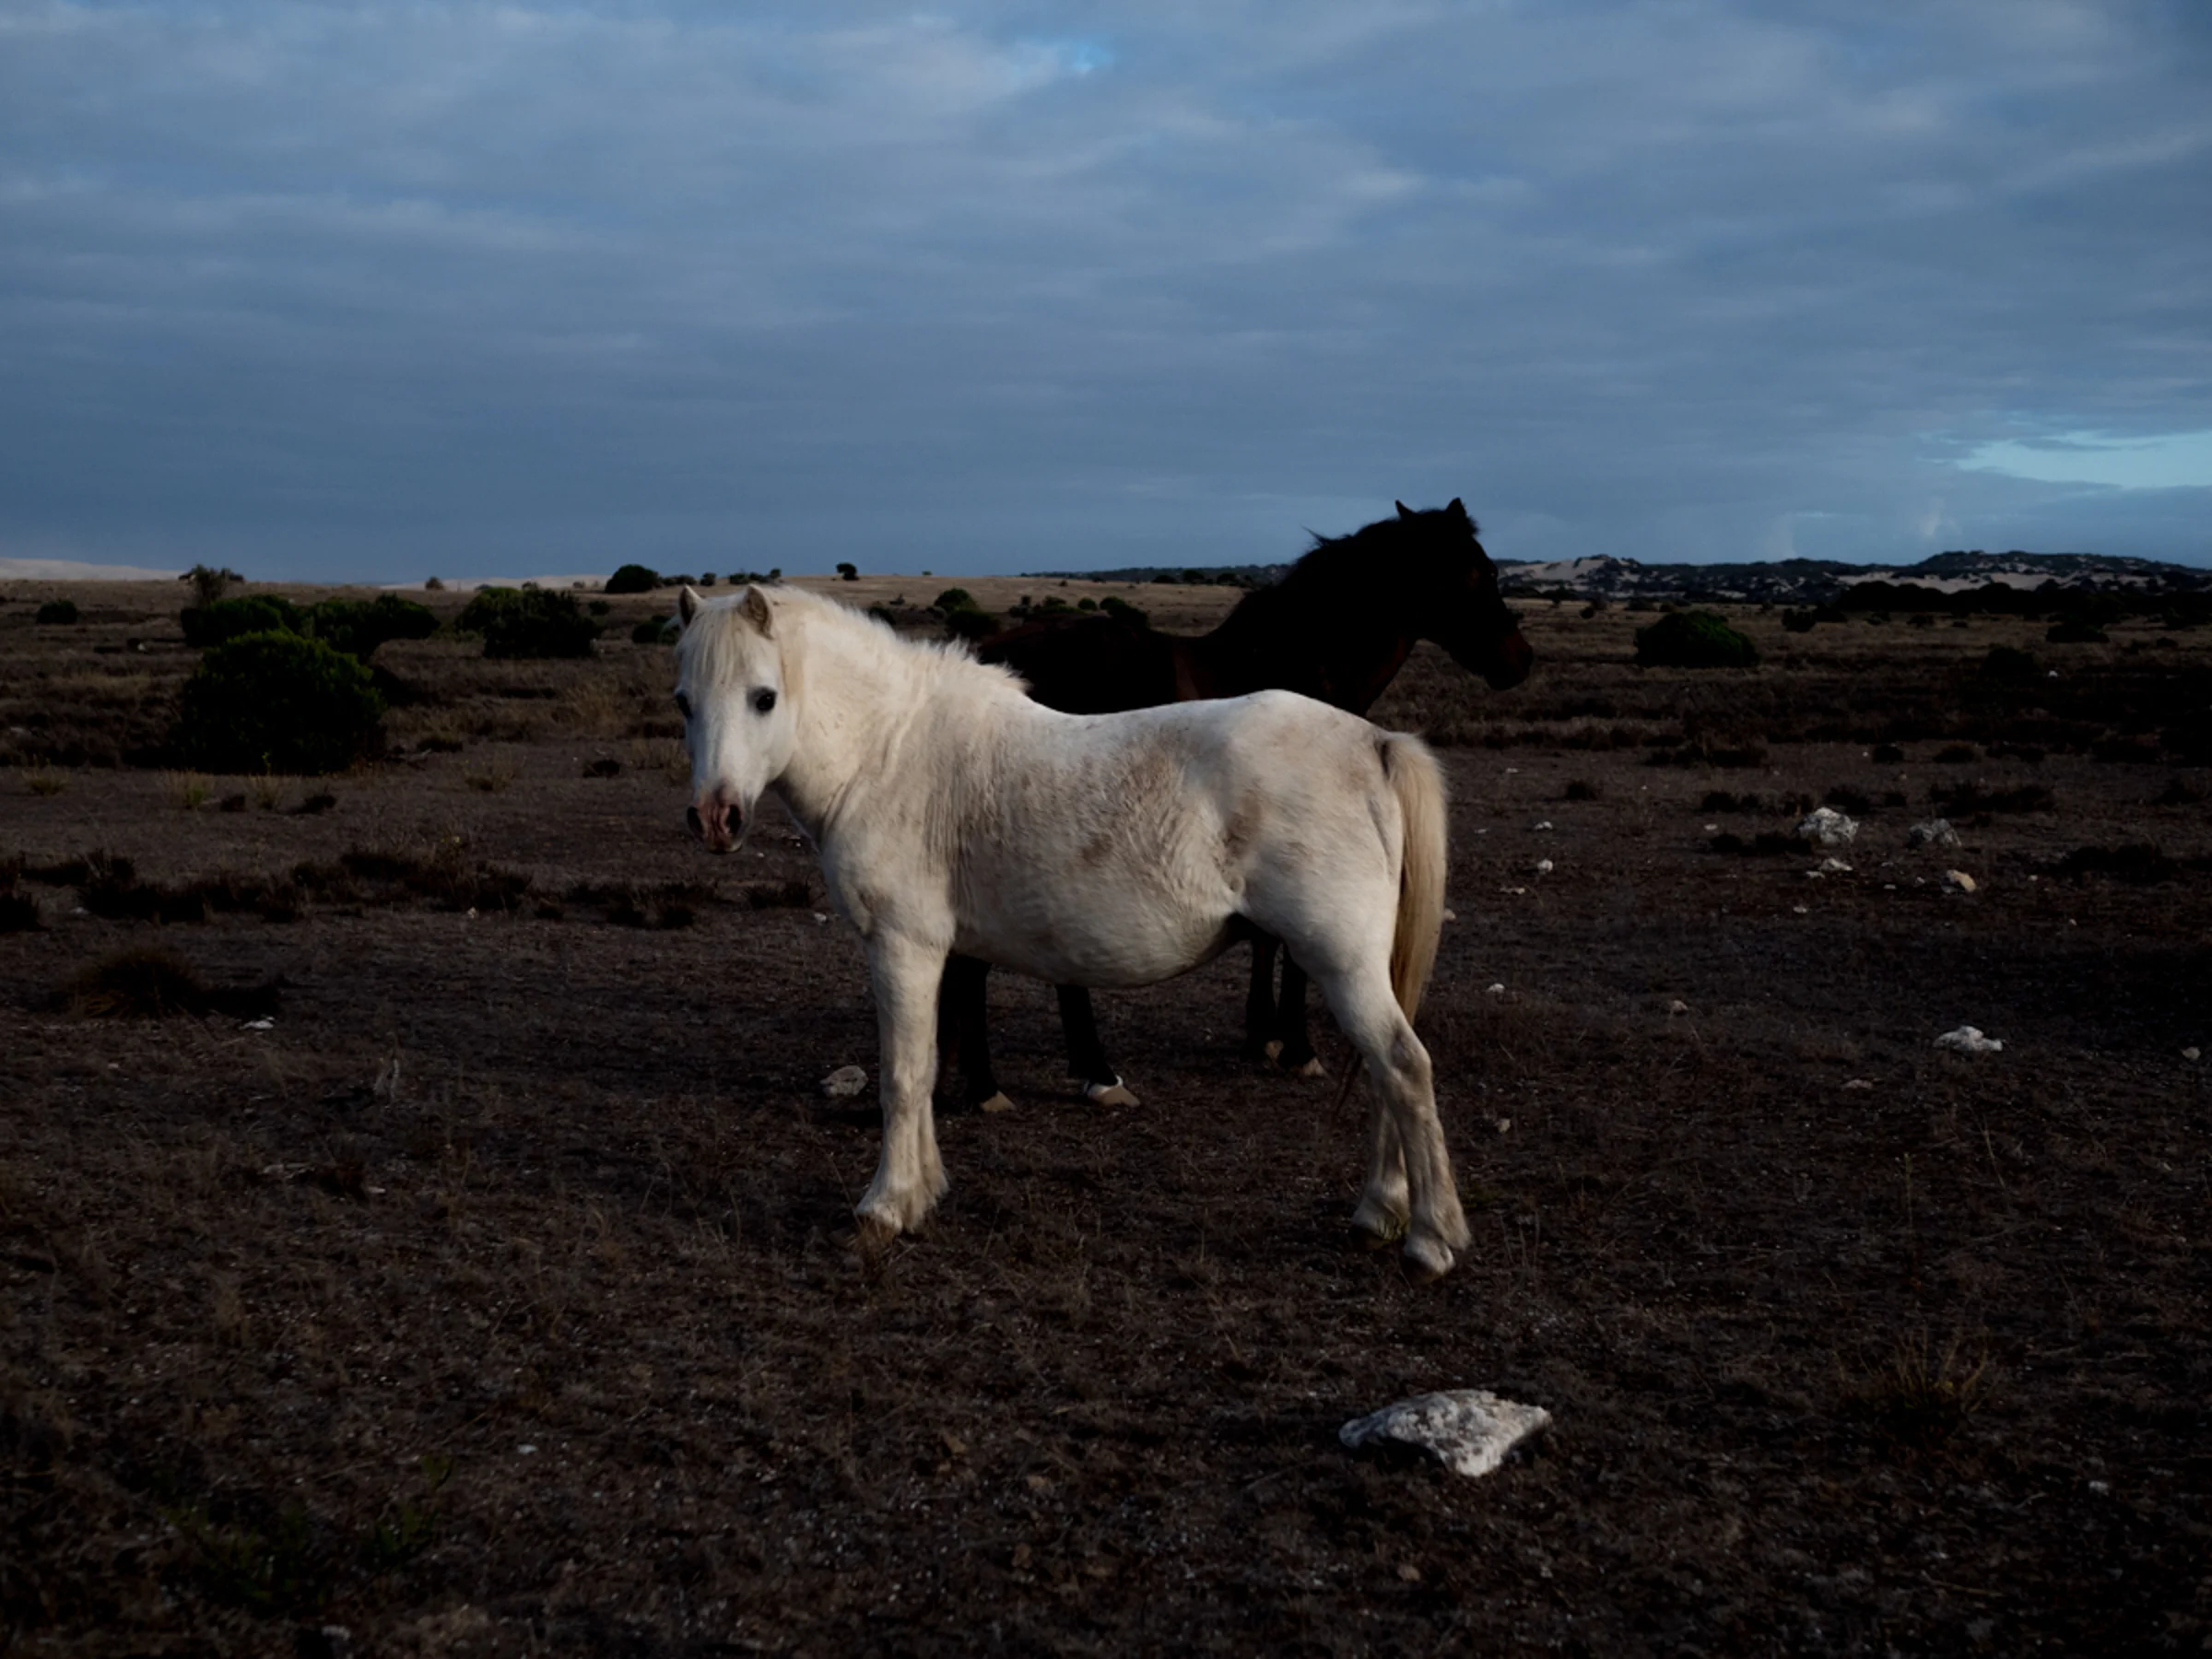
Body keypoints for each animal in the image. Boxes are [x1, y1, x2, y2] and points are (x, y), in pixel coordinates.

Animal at [673, 581, 1473, 1277]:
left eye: (764, 697)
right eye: (684, 702)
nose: (716, 819)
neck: (891, 755)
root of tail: (1375, 743)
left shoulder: (903, 946)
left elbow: (903, 1077)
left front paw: (883, 1211)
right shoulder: (935, 953)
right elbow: (927, 1068)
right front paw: (922, 1194)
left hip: (1341, 964)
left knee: (1404, 1068)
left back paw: (1429, 1240)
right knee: (1386, 1075)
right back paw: (1378, 1215)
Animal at [939, 498, 1530, 1113]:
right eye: (1480, 572)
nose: (1521, 660)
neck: (1297, 663)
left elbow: (1266, 941)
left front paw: (1262, 1035)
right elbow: (1290, 952)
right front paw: (1296, 1047)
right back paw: (1013, 1084)